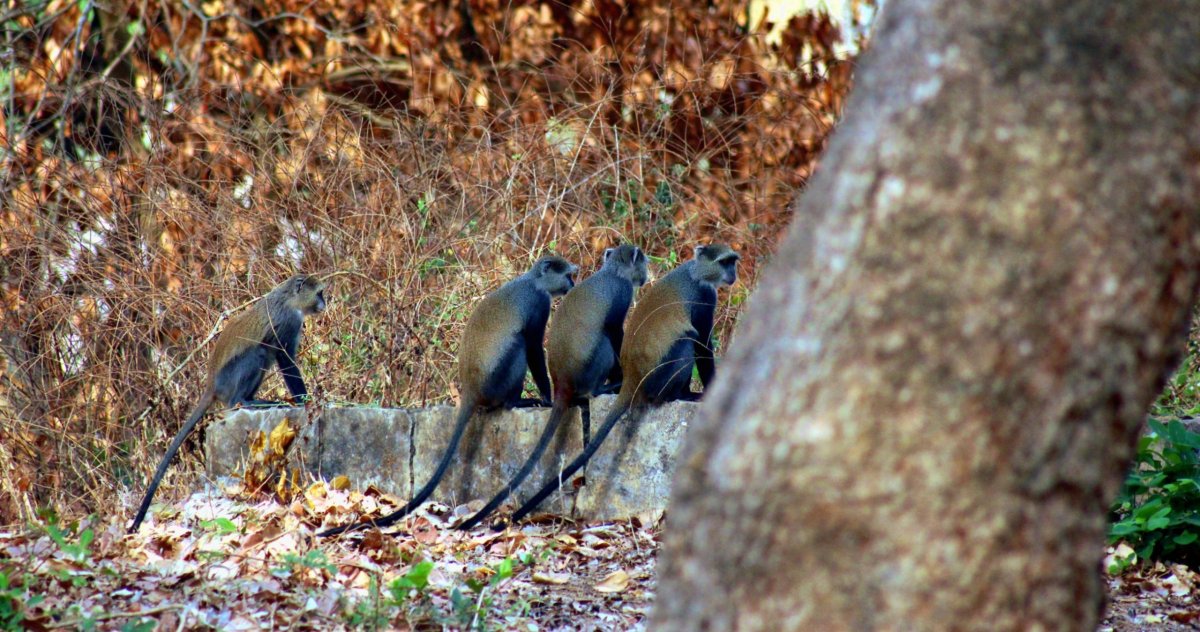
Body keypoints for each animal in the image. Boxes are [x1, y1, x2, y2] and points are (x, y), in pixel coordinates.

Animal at [128, 274, 328, 533]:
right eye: (319, 293)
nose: (325, 303)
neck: (288, 298)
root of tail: (212, 385)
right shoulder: (287, 322)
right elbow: (285, 360)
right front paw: (306, 400)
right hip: (230, 378)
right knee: (258, 353)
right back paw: (244, 401)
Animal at [318, 255, 578, 537]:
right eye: (568, 275)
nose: (573, 284)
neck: (533, 280)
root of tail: (471, 389)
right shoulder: (539, 304)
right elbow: (533, 347)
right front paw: (546, 398)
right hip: (497, 379)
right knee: (518, 344)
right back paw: (515, 401)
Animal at [500, 244, 739, 528]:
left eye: (733, 262)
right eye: (725, 262)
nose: (733, 274)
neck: (695, 271)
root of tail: (634, 379)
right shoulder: (702, 297)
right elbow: (701, 344)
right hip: (655, 377)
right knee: (685, 341)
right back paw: (679, 394)